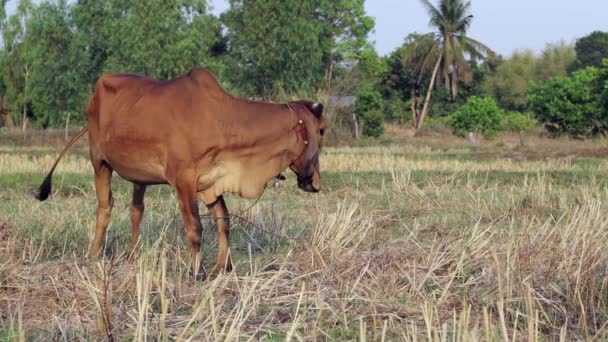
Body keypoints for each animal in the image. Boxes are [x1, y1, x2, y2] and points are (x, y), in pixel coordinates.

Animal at [35, 67, 326, 280]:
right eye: (322, 130)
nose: (315, 182)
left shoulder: (211, 183)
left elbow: (224, 221)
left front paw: (223, 267)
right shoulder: (184, 180)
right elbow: (195, 228)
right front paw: (197, 273)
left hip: (139, 177)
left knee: (136, 210)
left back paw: (131, 255)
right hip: (99, 161)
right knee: (105, 207)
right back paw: (94, 254)